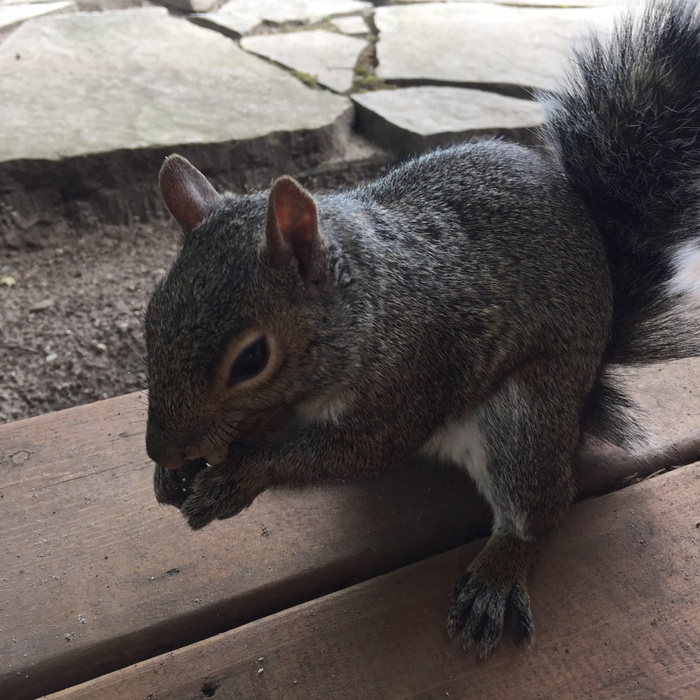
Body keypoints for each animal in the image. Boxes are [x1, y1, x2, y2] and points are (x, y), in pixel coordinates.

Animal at [144, 1, 700, 656]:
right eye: (152, 313)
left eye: (252, 360)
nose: (160, 447)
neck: (373, 306)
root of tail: (587, 387)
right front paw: (174, 472)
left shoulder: (409, 380)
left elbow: (350, 451)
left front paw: (237, 476)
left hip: (528, 415)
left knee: (541, 503)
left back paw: (498, 572)